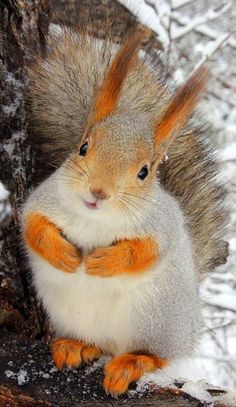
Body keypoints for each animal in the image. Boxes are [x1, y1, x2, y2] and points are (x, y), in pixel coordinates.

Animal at [21, 27, 227, 396]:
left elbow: (145, 252)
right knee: (98, 344)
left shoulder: (163, 227)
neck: (94, 217)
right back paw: (76, 346)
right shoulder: (42, 199)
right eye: (83, 147)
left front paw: (104, 262)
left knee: (157, 356)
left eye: (144, 171)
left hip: (156, 322)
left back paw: (133, 363)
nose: (98, 192)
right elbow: (32, 225)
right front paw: (64, 255)